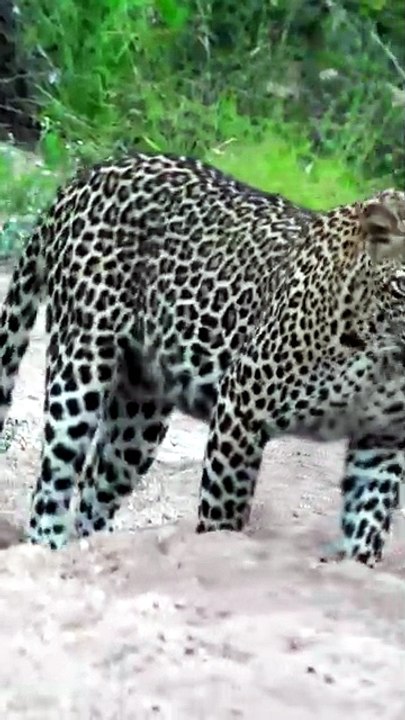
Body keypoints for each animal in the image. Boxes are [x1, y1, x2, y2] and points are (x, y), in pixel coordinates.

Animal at [1, 151, 405, 566]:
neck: (385, 358)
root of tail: (86, 175)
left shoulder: (382, 441)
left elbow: (367, 523)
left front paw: (357, 564)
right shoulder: (242, 405)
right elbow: (224, 511)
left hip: (139, 414)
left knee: (96, 490)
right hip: (80, 365)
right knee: (54, 481)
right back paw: (48, 547)